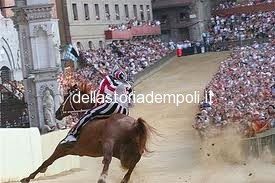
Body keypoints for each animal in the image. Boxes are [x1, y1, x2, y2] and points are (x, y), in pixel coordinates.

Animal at [21, 85, 155, 183]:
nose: (57, 113)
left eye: (65, 97)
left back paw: (102, 178)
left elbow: (47, 161)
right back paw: (124, 179)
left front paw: (27, 178)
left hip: (109, 143)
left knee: (108, 159)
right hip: (130, 148)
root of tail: (134, 124)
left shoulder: (63, 147)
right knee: (134, 161)